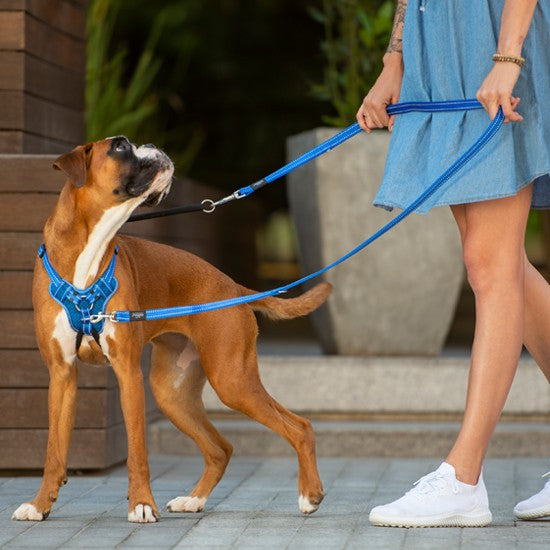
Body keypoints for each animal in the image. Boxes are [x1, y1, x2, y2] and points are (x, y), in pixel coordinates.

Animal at [11, 138, 332, 528]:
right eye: (121, 146)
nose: (151, 145)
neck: (88, 248)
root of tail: (234, 287)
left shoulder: (127, 373)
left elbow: (137, 451)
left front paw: (141, 504)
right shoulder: (62, 375)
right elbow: (53, 452)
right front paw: (40, 504)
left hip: (232, 381)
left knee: (300, 427)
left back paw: (309, 495)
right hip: (173, 395)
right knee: (220, 448)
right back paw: (194, 500)